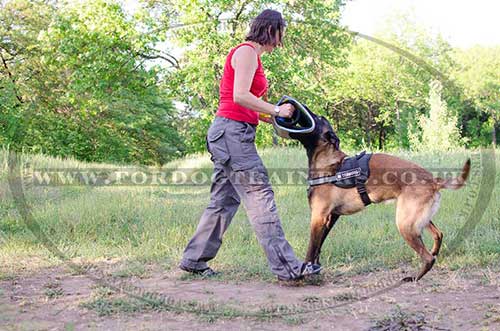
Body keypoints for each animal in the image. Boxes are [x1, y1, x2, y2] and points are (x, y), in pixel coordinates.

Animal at [292, 110, 470, 282]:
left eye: (317, 118)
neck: (328, 163)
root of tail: (433, 180)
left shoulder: (318, 217)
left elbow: (311, 248)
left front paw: (304, 274)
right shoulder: (331, 217)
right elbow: (318, 247)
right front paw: (315, 271)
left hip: (404, 224)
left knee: (428, 258)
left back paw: (413, 278)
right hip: (419, 220)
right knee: (438, 235)